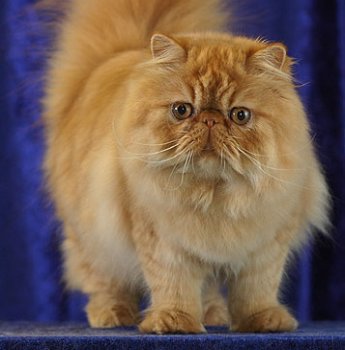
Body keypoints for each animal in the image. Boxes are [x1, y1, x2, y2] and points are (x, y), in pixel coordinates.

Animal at [41, 0, 330, 334]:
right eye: (182, 110)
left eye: (240, 115)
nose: (210, 120)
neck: (214, 195)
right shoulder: (162, 241)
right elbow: (173, 285)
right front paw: (174, 322)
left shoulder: (267, 244)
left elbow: (258, 290)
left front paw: (263, 321)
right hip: (91, 234)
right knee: (103, 280)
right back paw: (112, 314)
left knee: (209, 290)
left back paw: (213, 314)